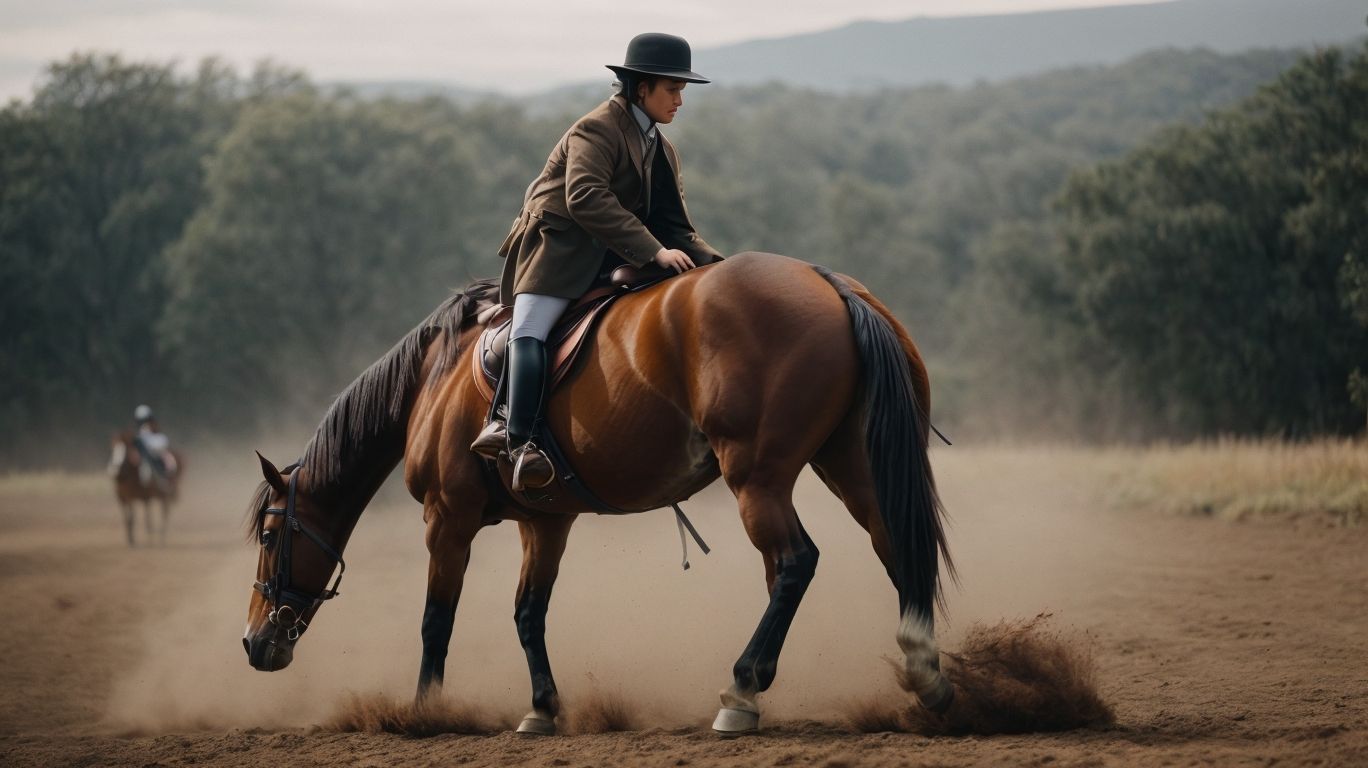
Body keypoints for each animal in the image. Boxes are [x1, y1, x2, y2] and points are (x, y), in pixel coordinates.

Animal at [241, 252, 955, 735]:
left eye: (272, 536)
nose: (254, 643)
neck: (438, 375)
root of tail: (829, 283)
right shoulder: (544, 521)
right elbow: (528, 614)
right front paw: (541, 709)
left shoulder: (447, 518)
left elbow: (436, 619)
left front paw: (424, 711)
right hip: (851, 467)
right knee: (895, 547)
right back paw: (926, 676)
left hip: (759, 480)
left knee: (794, 564)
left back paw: (741, 690)